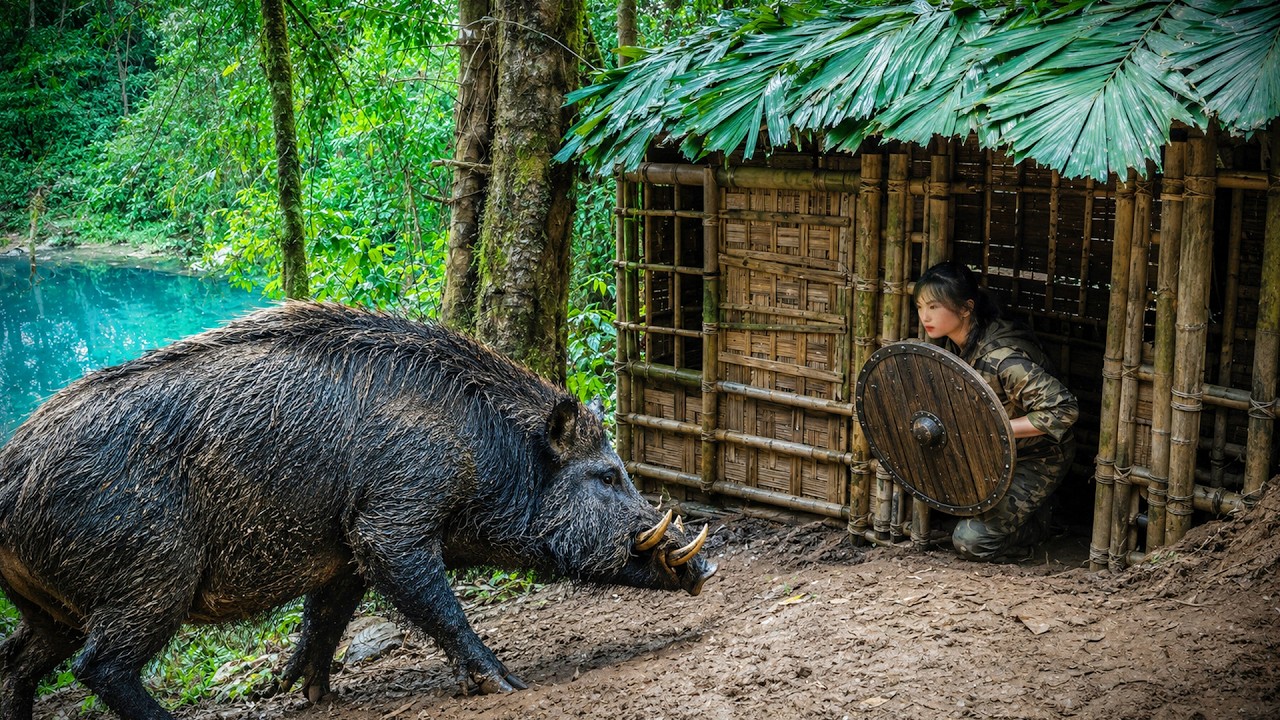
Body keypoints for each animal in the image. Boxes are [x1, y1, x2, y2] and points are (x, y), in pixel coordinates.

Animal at [0, 301, 716, 720]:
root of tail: (9, 479)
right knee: (100, 666)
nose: (707, 568)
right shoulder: (390, 523)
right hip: (150, 577)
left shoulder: (340, 553)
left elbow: (325, 620)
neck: (480, 449)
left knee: (19, 660)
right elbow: (436, 603)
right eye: (607, 474)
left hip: (53, 606)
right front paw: (507, 684)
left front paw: (312, 694)